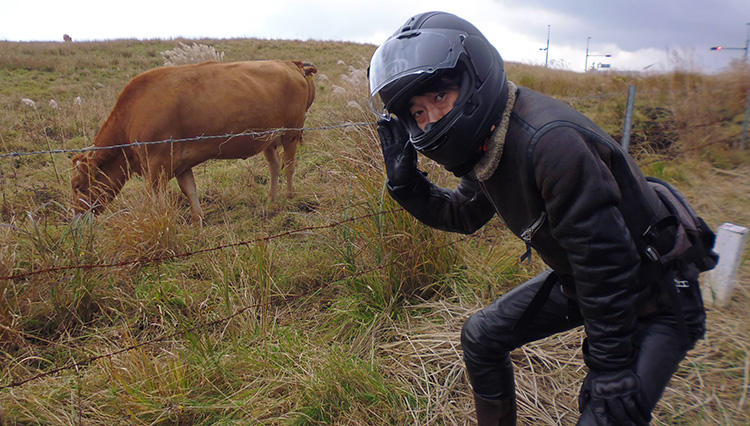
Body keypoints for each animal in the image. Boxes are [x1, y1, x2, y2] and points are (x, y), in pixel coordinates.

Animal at [70, 61, 318, 221]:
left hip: (291, 132)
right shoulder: (181, 164)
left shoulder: (156, 166)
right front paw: (198, 219)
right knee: (275, 165)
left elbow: (155, 199)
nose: (75, 216)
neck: (132, 114)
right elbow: (190, 191)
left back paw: (289, 197)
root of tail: (290, 63)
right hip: (268, 139)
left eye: (78, 186)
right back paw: (272, 200)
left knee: (289, 165)